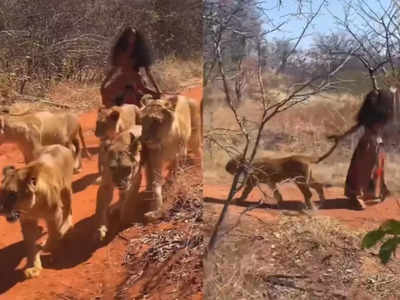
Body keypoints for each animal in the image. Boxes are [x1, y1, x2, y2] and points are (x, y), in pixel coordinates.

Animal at [0, 144, 74, 278]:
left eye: (12, 195)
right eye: (0, 193)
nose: (0, 210)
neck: (32, 208)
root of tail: (59, 145)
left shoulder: (54, 215)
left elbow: (53, 235)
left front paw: (48, 247)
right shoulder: (27, 221)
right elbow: (30, 244)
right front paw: (34, 267)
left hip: (66, 190)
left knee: (67, 210)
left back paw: (65, 229)